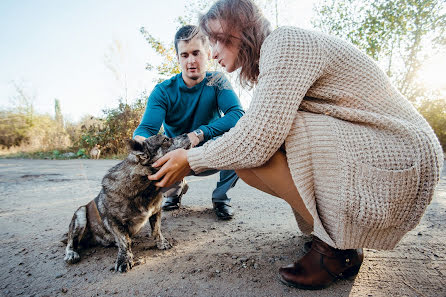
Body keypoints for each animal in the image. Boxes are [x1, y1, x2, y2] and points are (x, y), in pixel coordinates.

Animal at [63, 134, 190, 270]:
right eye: (165, 140)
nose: (186, 134)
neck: (145, 187)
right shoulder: (114, 222)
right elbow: (124, 241)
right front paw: (124, 259)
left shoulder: (156, 213)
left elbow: (156, 230)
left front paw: (162, 243)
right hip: (80, 214)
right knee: (71, 242)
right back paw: (71, 253)